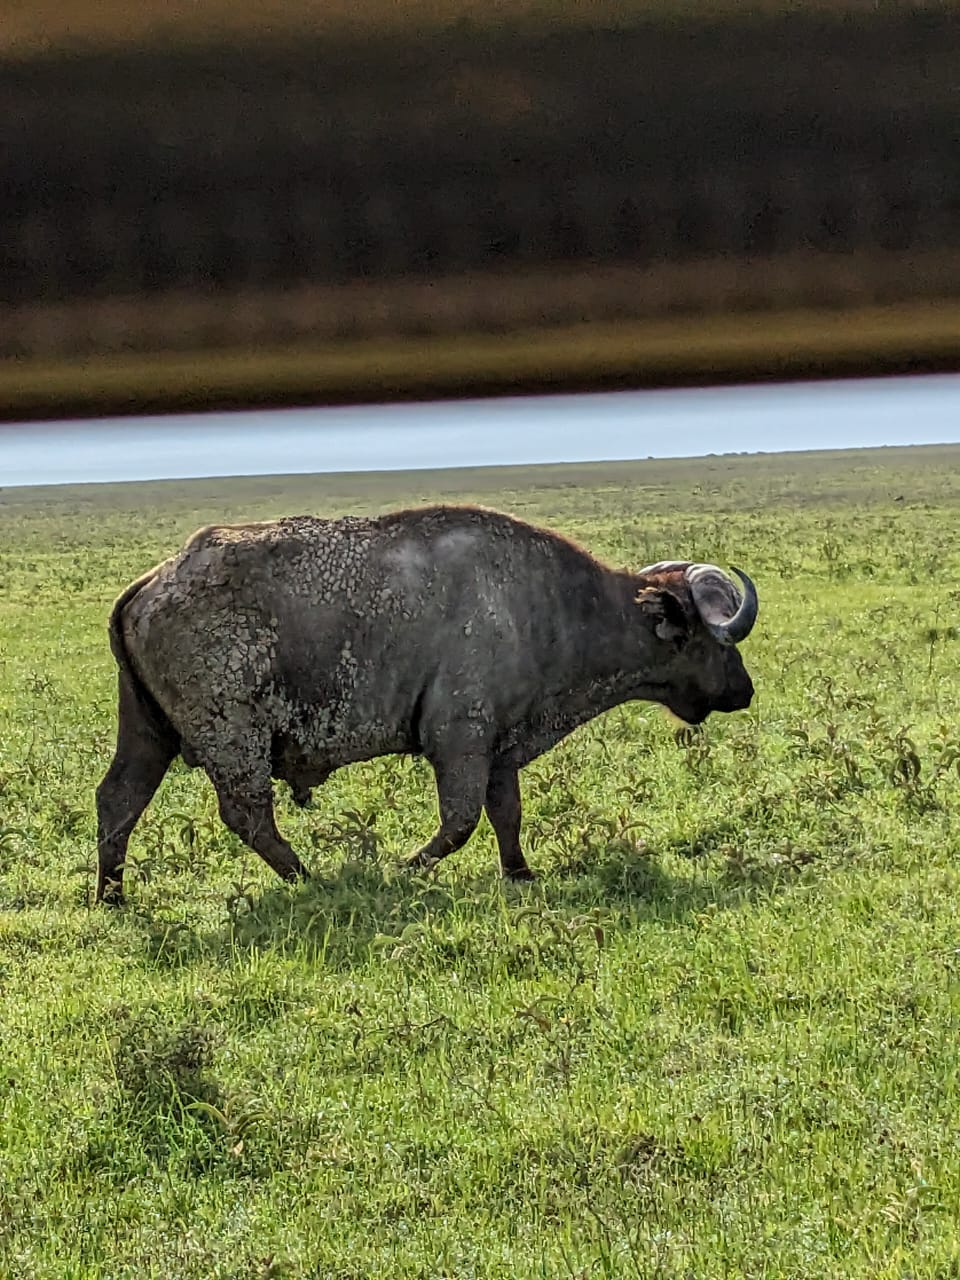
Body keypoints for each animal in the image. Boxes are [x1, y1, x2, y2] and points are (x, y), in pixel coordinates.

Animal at [96, 504, 757, 902]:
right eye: (712, 639)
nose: (744, 690)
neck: (547, 607)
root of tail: (155, 582)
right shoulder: (459, 744)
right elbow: (459, 824)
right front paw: (404, 869)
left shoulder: (499, 753)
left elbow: (507, 816)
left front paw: (520, 875)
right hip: (236, 742)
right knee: (249, 816)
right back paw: (312, 879)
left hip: (147, 736)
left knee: (118, 801)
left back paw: (113, 896)